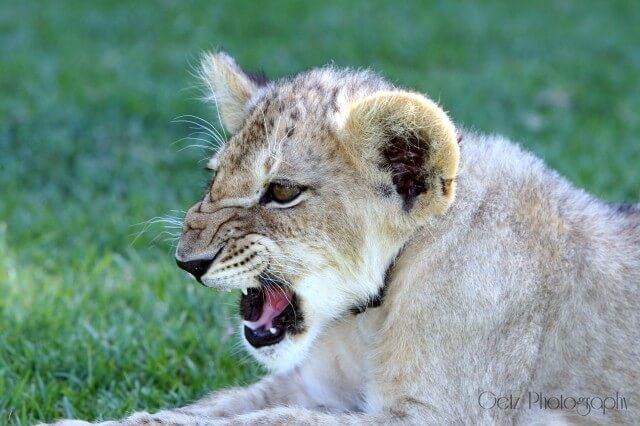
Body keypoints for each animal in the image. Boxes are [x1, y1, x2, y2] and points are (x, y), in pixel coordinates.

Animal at [48, 51, 639, 425]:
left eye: (282, 191)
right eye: (213, 179)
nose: (186, 261)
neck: (368, 319)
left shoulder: (441, 414)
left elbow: (273, 422)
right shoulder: (309, 385)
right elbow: (212, 408)